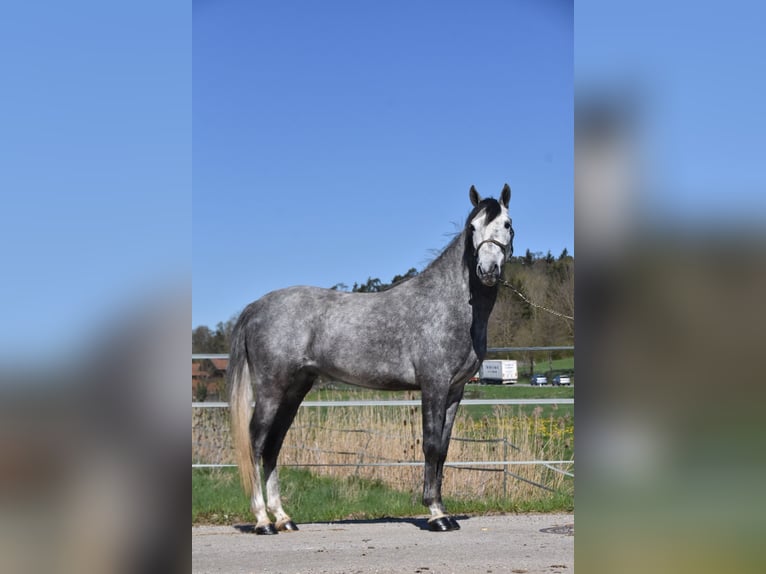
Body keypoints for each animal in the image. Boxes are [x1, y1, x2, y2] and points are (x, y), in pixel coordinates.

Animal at [227, 184, 514, 533]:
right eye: (472, 228)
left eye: (507, 224)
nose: (488, 270)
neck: (448, 305)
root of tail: (255, 307)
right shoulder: (434, 385)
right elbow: (431, 445)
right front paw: (436, 514)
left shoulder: (455, 390)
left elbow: (444, 449)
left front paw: (443, 510)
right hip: (270, 389)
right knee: (256, 444)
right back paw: (262, 520)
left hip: (293, 391)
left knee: (272, 446)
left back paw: (283, 518)